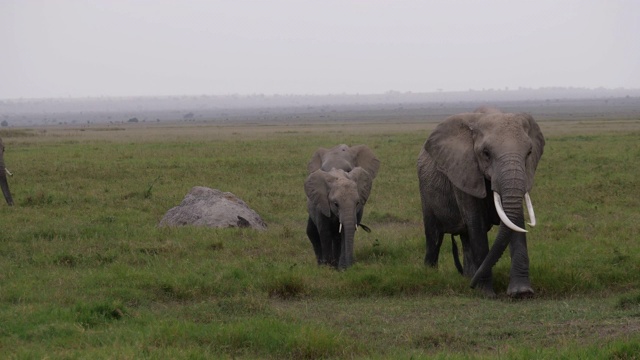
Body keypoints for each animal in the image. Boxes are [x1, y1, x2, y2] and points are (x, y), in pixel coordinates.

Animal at [420, 107, 544, 298]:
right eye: (486, 153)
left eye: (529, 152)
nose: (471, 286)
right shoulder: (464, 170)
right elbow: (476, 223)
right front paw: (485, 293)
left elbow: (514, 221)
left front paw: (521, 293)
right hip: (426, 192)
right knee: (434, 236)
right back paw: (433, 274)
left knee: (465, 238)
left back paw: (468, 275)